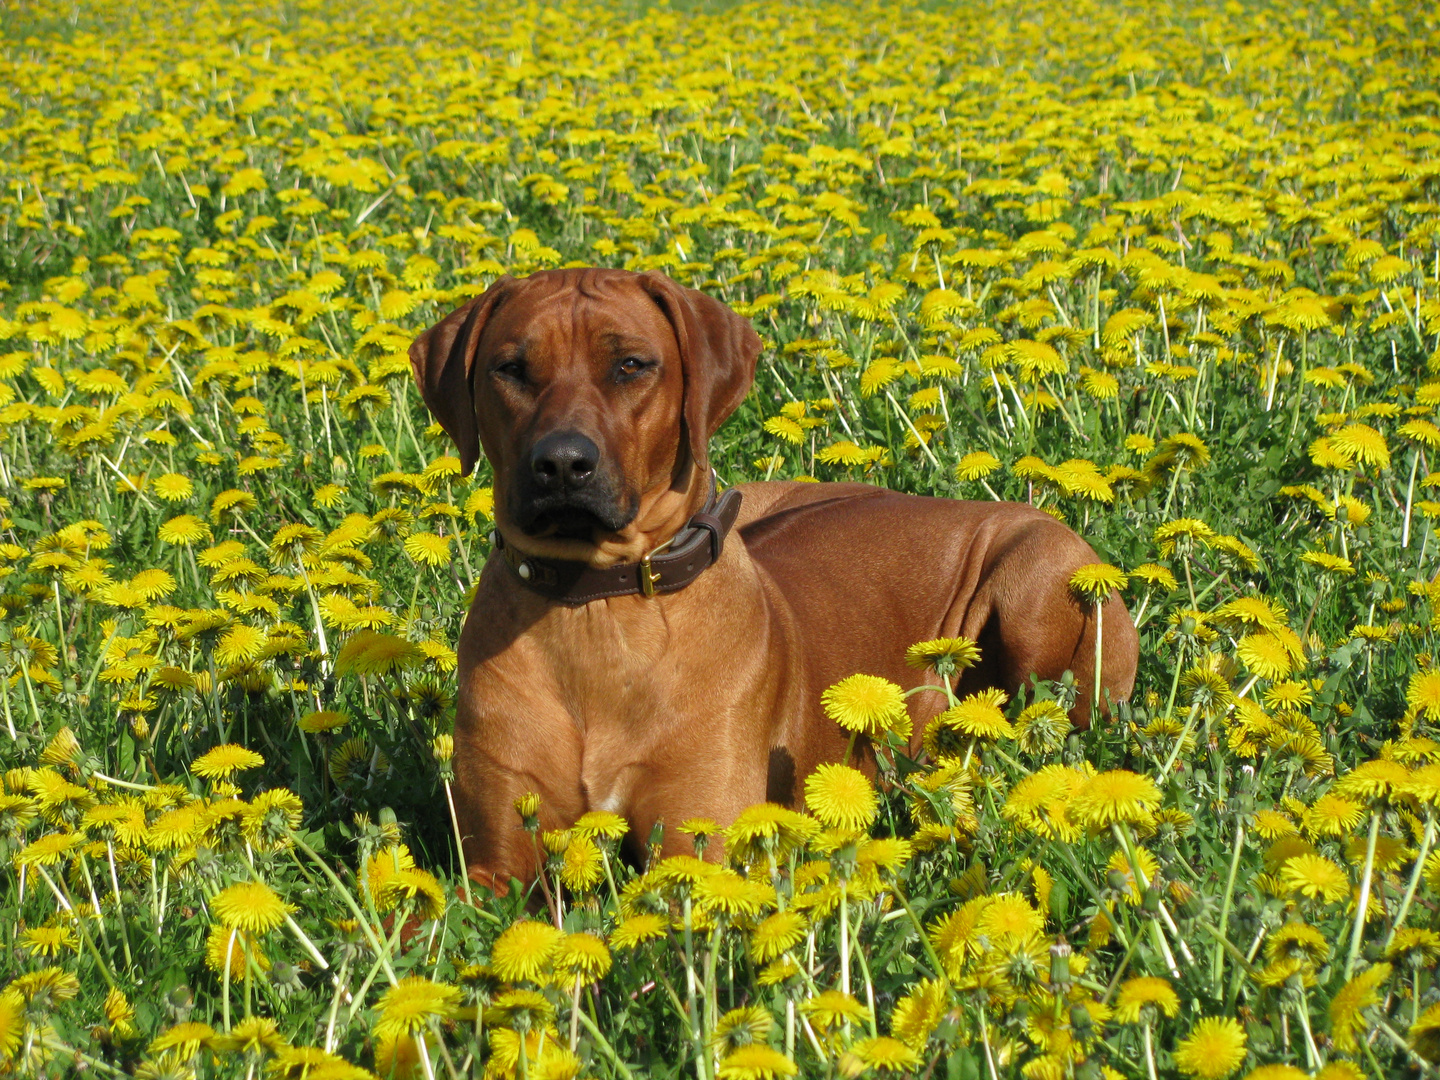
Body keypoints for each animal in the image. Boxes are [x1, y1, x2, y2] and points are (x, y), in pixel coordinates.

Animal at [408, 269, 1134, 887]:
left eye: (630, 366)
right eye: (512, 369)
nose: (561, 463)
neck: (598, 604)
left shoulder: (700, 845)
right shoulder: (494, 866)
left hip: (1039, 576)